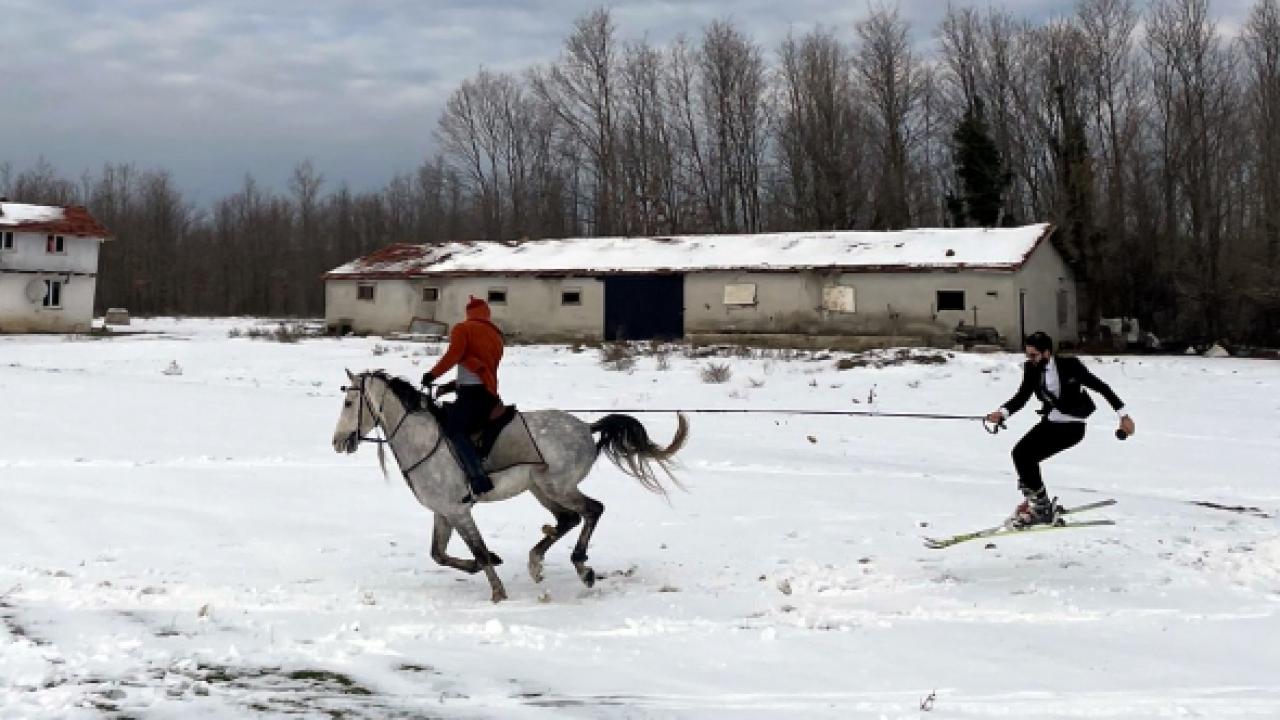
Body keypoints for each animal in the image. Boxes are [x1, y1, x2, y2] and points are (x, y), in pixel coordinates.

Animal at [332, 370, 688, 602]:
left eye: (349, 403)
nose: (337, 442)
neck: (423, 440)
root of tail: (587, 428)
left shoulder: (458, 511)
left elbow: (476, 550)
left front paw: (498, 592)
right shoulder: (443, 512)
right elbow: (439, 554)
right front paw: (483, 565)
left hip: (558, 487)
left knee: (592, 510)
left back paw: (582, 568)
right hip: (541, 490)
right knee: (568, 519)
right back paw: (537, 564)